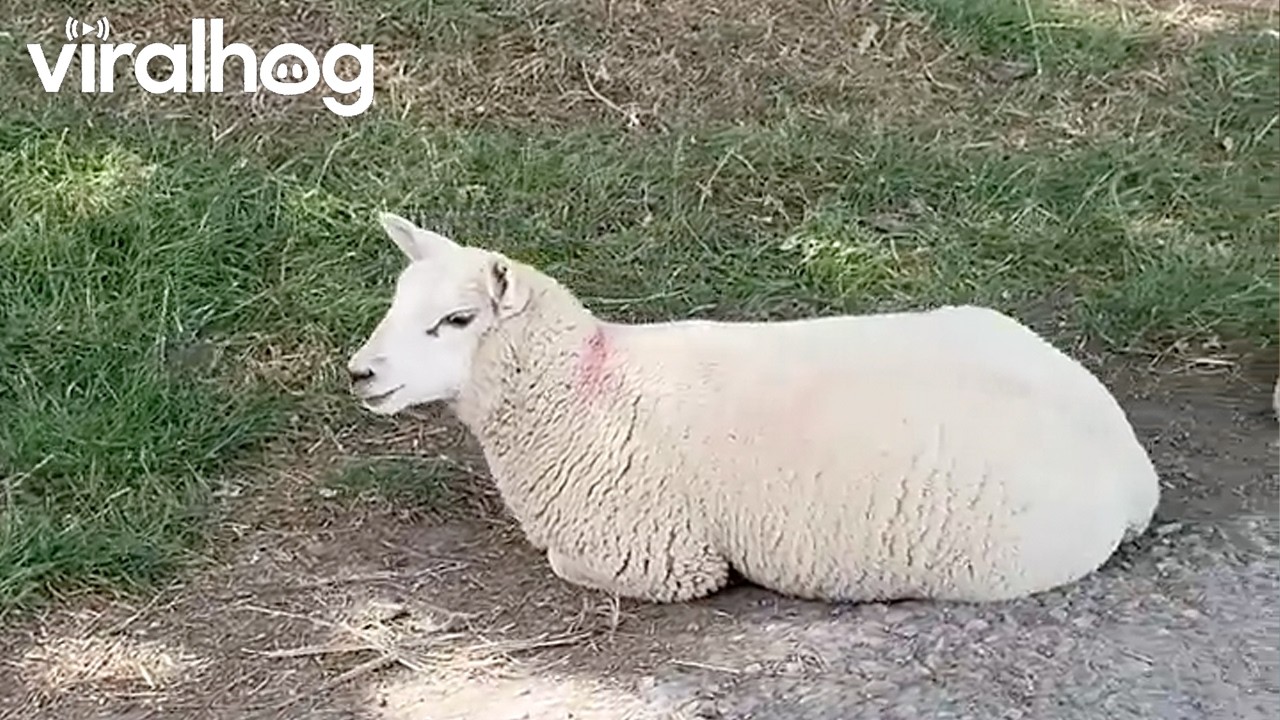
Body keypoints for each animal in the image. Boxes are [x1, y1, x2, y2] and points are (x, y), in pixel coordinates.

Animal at [346, 212, 1161, 605]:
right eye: (395, 302)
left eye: (457, 321)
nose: (360, 373)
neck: (581, 390)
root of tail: (1132, 468)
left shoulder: (653, 553)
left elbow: (569, 562)